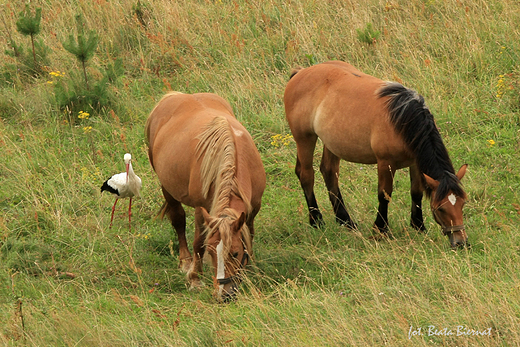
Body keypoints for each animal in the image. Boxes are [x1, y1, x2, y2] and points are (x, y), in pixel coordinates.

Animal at [146, 92, 268, 302]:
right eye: (211, 252)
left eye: (235, 253)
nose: (224, 294)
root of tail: (175, 96)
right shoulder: (200, 209)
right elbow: (198, 243)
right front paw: (195, 278)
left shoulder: (253, 208)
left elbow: (249, 235)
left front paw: (249, 267)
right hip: (167, 188)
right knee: (178, 221)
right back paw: (185, 261)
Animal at [286, 61, 470, 249]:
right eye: (441, 208)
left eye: (462, 203)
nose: (461, 242)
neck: (402, 119)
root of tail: (300, 73)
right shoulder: (385, 162)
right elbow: (384, 194)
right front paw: (380, 229)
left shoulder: (415, 163)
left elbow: (416, 192)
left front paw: (418, 226)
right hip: (305, 138)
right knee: (306, 175)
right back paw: (316, 220)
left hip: (332, 142)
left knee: (329, 172)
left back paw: (345, 220)